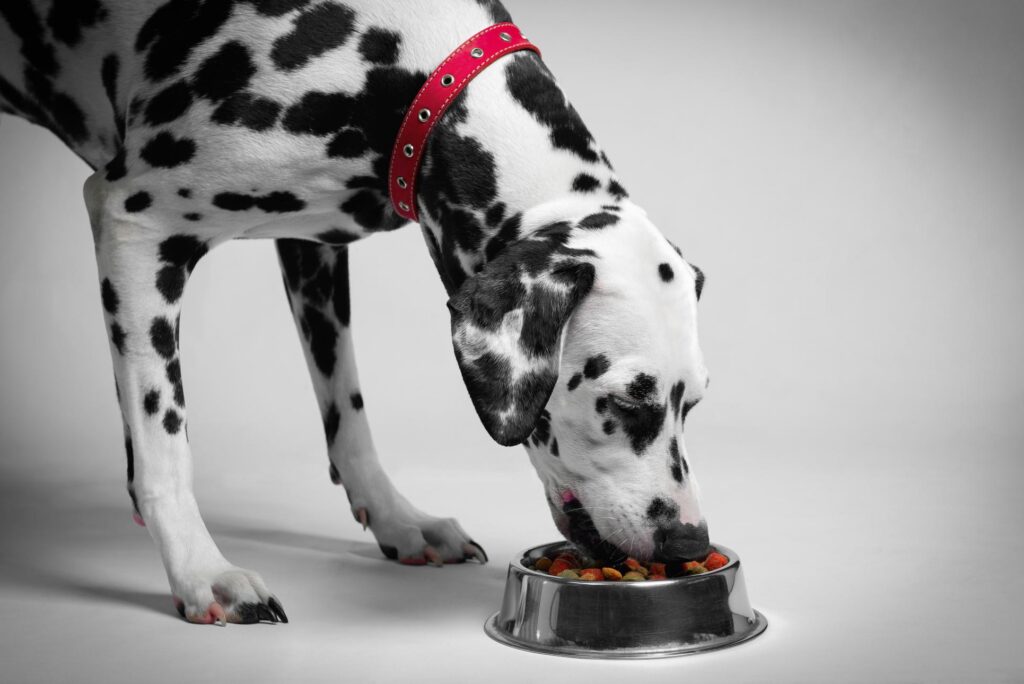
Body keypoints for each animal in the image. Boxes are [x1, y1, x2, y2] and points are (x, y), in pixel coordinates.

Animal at [2, 0, 712, 622]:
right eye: (622, 402)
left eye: (695, 403)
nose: (690, 543)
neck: (410, 65)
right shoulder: (135, 225)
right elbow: (163, 440)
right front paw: (201, 571)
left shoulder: (312, 247)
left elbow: (347, 411)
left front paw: (398, 518)